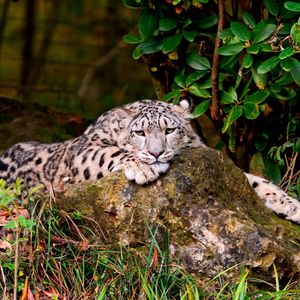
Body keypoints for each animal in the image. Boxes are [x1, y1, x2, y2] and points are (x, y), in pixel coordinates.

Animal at [0, 100, 298, 223]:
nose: (155, 153)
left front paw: (291, 204)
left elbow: (253, 181)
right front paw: (143, 168)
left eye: (170, 130)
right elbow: (109, 153)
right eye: (140, 132)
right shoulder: (86, 151)